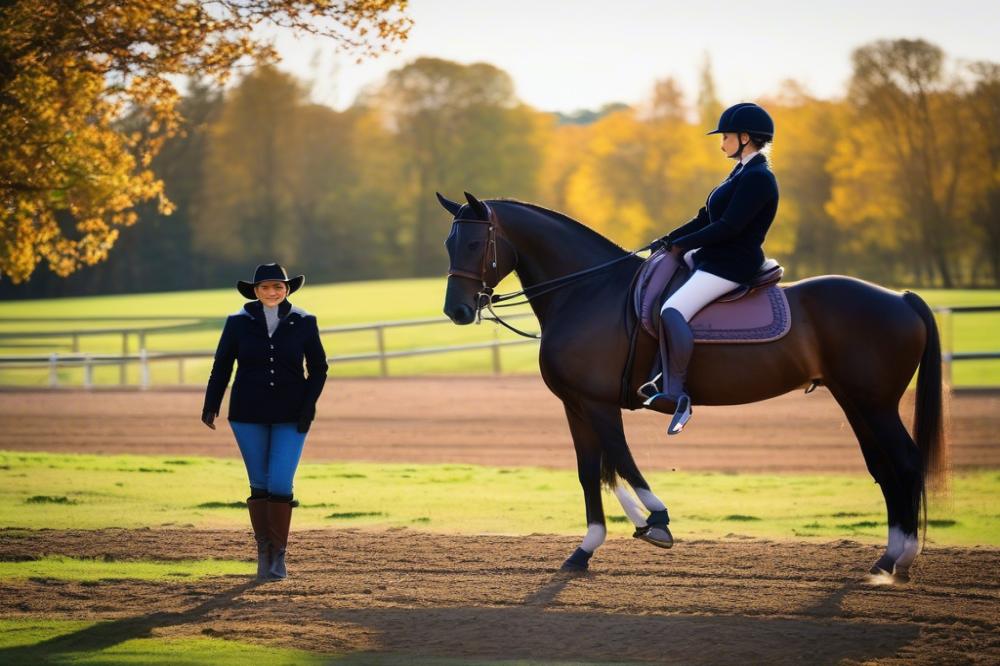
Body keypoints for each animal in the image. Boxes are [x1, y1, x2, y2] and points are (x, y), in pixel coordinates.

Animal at [438, 189, 944, 580]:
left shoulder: (599, 404)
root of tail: (900, 297)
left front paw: (656, 522)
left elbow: (622, 461)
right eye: (449, 242)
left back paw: (902, 559)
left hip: (875, 404)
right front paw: (585, 550)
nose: (457, 311)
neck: (588, 292)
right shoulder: (576, 404)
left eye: (476, 243)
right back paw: (887, 559)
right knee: (884, 468)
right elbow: (591, 472)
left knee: (905, 461)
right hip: (856, 402)